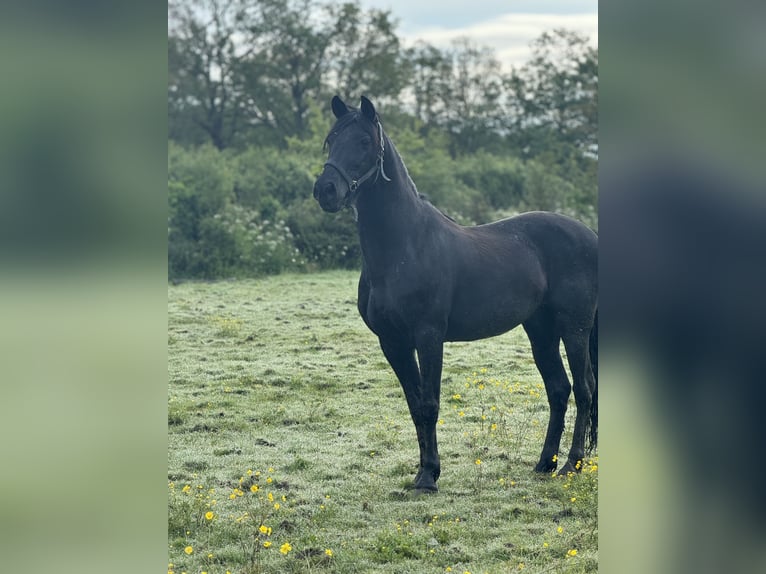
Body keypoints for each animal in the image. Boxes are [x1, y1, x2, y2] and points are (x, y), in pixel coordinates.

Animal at [312, 97, 600, 492]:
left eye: (364, 142)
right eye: (330, 140)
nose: (326, 190)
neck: (404, 247)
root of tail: (591, 236)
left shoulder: (429, 336)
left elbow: (430, 404)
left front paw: (428, 477)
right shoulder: (392, 341)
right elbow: (415, 406)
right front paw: (423, 473)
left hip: (575, 328)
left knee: (585, 390)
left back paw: (572, 465)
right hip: (541, 330)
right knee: (559, 389)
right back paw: (544, 463)